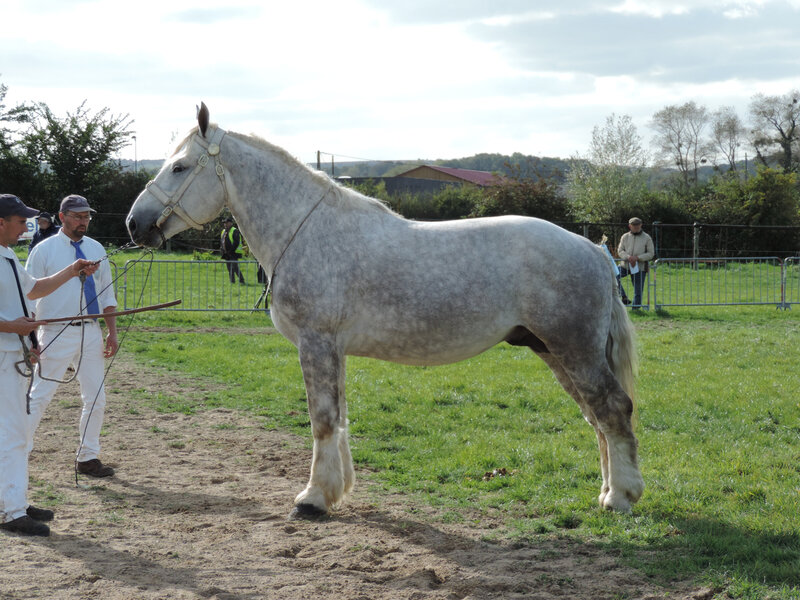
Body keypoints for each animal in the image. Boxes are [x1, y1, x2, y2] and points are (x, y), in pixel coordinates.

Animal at [128, 104, 648, 520]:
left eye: (180, 167)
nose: (135, 224)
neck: (307, 230)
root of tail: (595, 251)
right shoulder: (333, 349)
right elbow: (338, 418)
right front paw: (335, 491)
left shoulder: (316, 343)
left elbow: (321, 419)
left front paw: (312, 499)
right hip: (552, 349)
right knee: (597, 417)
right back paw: (606, 492)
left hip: (574, 348)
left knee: (612, 409)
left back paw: (621, 497)